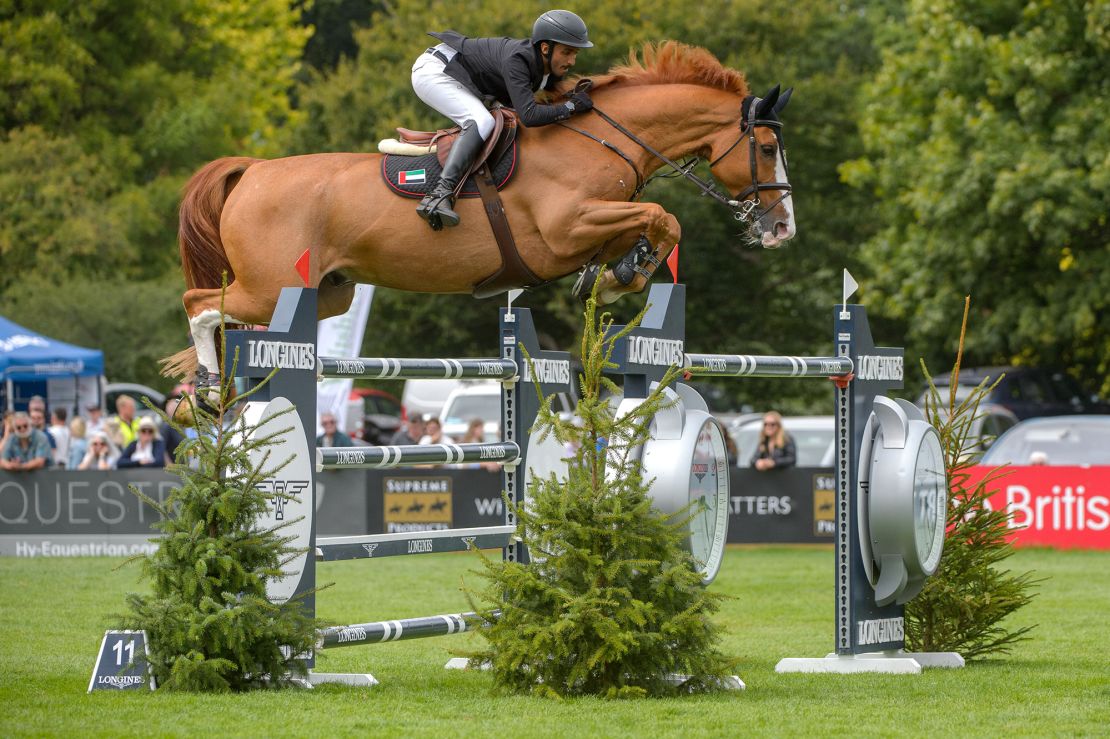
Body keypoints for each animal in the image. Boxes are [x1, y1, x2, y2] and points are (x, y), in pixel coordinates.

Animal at [164, 43, 794, 386]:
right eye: (766, 148)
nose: (783, 227)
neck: (600, 138)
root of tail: (254, 170)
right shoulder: (565, 230)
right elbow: (664, 217)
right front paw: (623, 278)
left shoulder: (593, 226)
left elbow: (650, 227)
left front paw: (618, 275)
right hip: (272, 285)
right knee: (200, 303)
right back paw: (207, 385)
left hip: (325, 294)